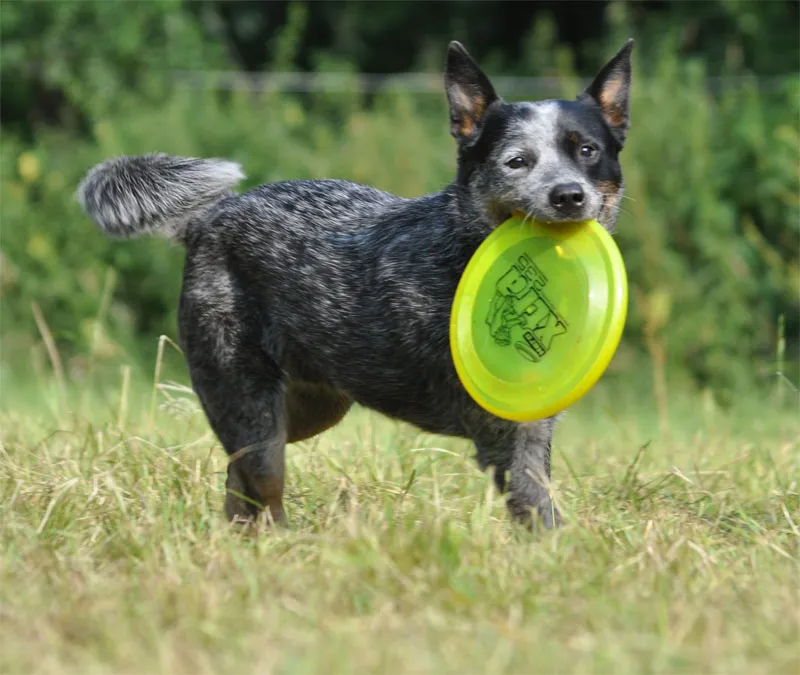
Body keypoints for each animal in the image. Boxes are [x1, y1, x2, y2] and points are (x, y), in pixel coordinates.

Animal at [78, 39, 636, 532]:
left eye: (587, 151)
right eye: (517, 161)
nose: (568, 195)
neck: (459, 249)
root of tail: (208, 219)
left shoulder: (537, 426)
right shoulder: (502, 433)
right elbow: (538, 508)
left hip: (310, 408)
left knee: (239, 481)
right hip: (248, 402)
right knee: (263, 486)